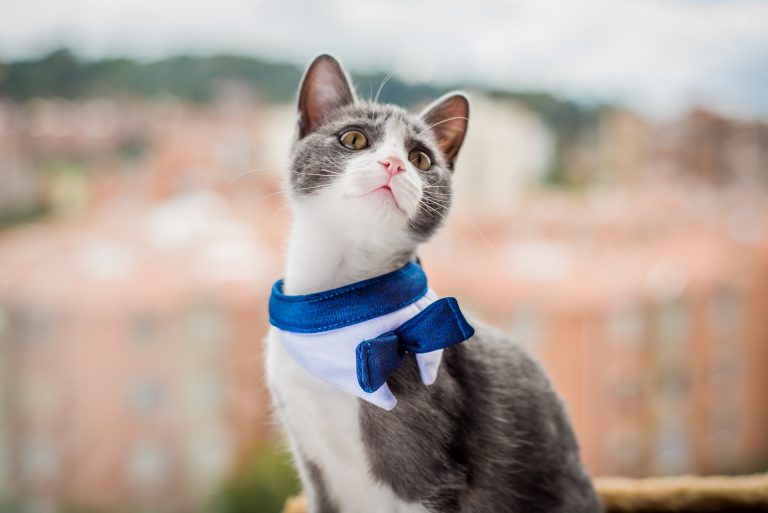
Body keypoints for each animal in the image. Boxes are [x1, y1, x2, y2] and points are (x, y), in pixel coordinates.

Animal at [268, 54, 604, 510]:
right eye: (353, 138)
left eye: (421, 158)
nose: (393, 164)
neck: (336, 306)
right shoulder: (316, 473)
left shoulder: (427, 474)